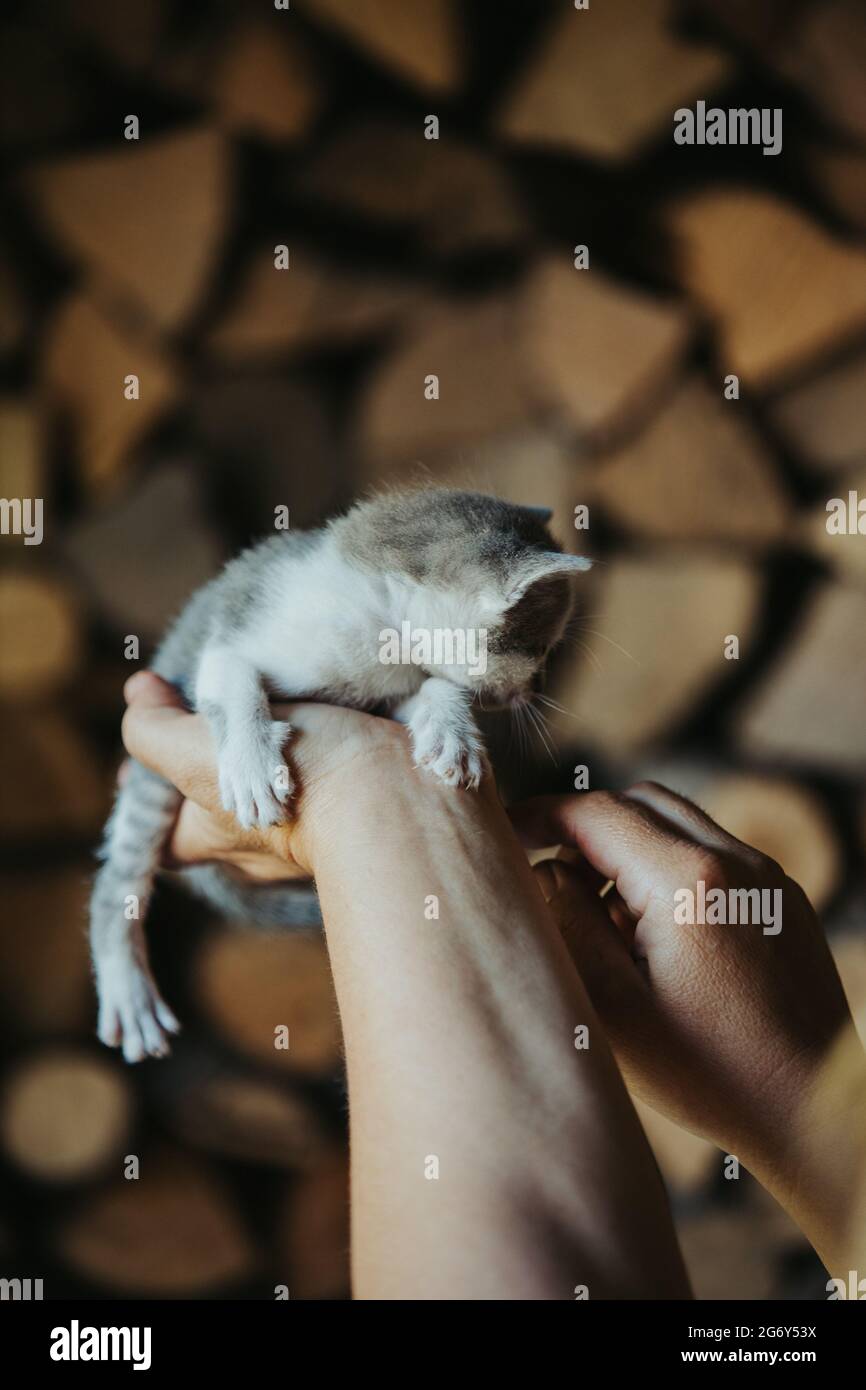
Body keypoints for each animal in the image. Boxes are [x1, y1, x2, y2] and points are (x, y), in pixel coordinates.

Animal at [91, 483, 592, 1056]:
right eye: (545, 649)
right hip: (151, 769)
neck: (377, 632)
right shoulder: (221, 643)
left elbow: (433, 687)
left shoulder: (387, 694)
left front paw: (450, 731)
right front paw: (251, 764)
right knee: (116, 884)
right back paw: (128, 991)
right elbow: (235, 680)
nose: (539, 687)